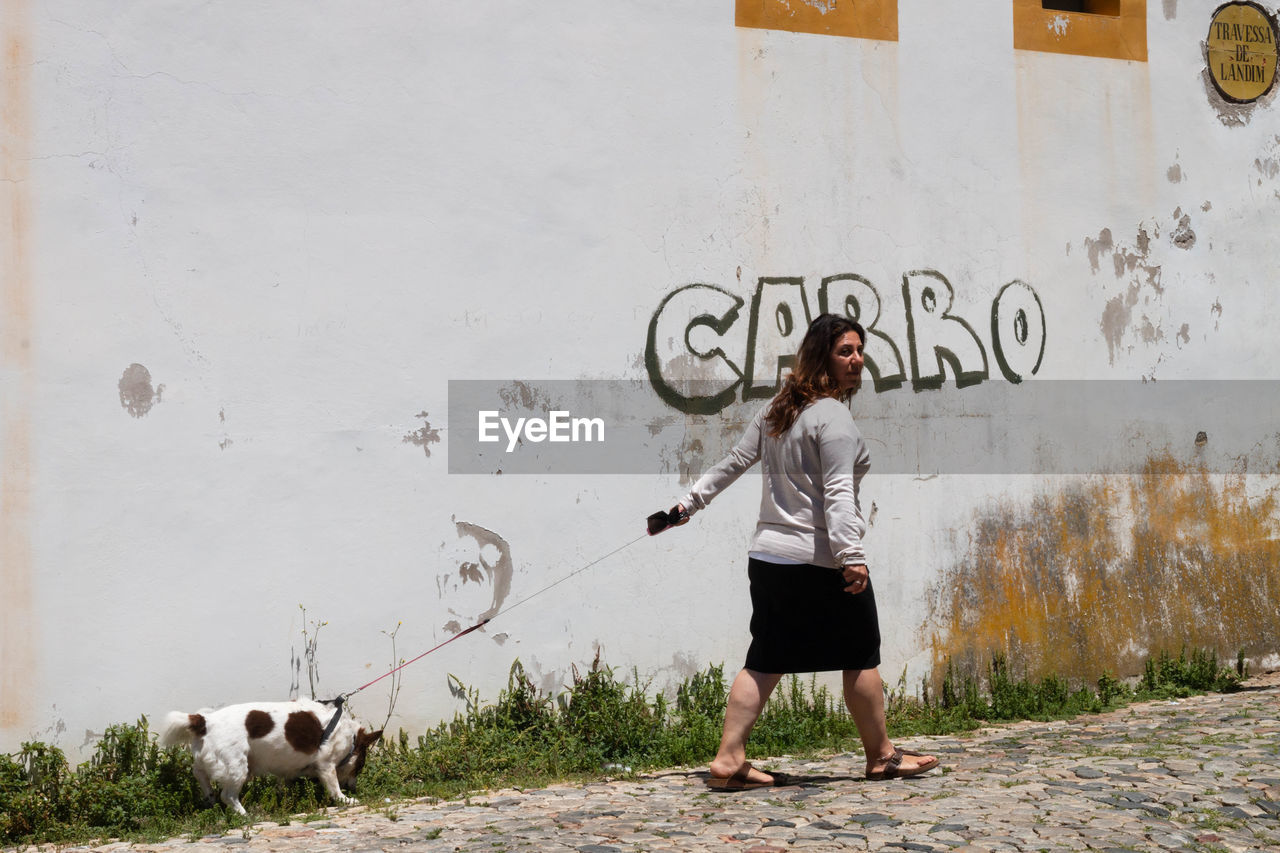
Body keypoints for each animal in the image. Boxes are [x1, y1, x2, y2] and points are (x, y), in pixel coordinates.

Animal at [159, 696, 378, 809]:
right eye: (359, 767)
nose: (354, 788)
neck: (351, 738)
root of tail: (205, 720)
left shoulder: (288, 770)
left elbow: (284, 785)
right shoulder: (326, 765)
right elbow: (334, 787)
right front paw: (346, 799)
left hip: (219, 762)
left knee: (200, 775)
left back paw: (209, 798)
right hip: (237, 766)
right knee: (228, 796)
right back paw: (244, 815)